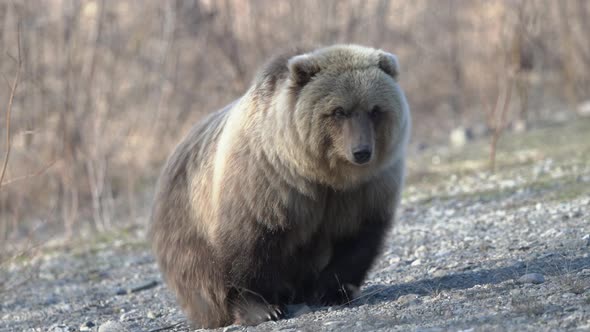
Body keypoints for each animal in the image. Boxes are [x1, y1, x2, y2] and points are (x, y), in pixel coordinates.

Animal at [149, 44, 412, 330]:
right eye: (338, 111)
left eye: (375, 109)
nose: (362, 151)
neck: (321, 174)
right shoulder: (267, 182)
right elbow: (250, 246)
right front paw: (262, 308)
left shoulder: (365, 191)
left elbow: (357, 239)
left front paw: (332, 291)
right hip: (187, 221)